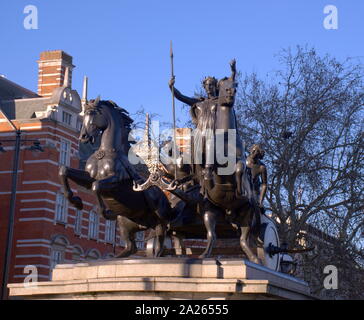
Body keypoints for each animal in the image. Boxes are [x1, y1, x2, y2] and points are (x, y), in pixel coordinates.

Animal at [59, 97, 174, 258]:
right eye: (85, 113)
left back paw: (157, 254)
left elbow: (96, 187)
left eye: (93, 113)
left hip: (159, 218)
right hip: (126, 222)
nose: (83, 137)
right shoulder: (89, 177)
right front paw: (76, 201)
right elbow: (64, 171)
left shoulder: (116, 182)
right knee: (131, 247)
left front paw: (106, 212)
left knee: (160, 240)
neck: (106, 151)